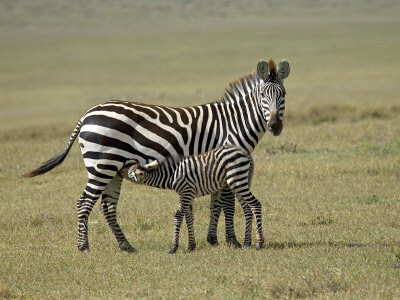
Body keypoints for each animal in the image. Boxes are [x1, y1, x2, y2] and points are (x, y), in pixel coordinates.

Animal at [122, 145, 262, 253]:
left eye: (129, 173)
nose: (120, 170)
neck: (172, 175)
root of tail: (243, 152)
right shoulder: (187, 194)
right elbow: (189, 218)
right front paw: (191, 246)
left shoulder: (186, 192)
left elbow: (178, 216)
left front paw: (173, 248)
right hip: (238, 182)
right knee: (247, 209)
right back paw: (246, 243)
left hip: (237, 181)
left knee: (255, 204)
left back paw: (259, 243)